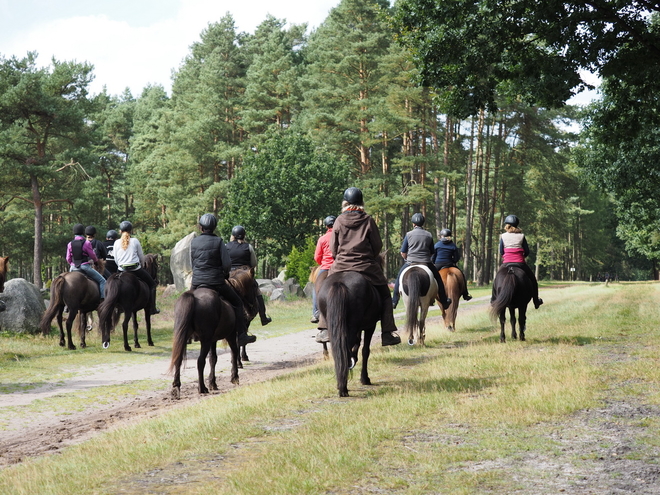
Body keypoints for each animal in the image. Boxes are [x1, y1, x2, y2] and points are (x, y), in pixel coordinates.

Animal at [318, 272, 382, 400]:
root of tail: (339, 283)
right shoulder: (370, 326)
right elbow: (365, 350)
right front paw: (365, 379)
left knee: (339, 352)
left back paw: (341, 384)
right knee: (346, 352)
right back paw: (343, 388)